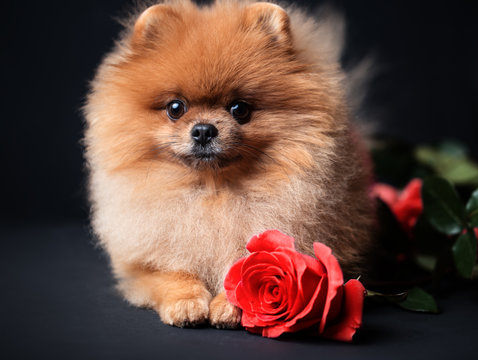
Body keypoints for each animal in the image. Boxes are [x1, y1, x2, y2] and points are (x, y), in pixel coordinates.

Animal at [84, 0, 376, 328]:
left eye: (240, 109)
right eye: (176, 108)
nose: (203, 130)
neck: (213, 192)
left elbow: (242, 271)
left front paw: (229, 305)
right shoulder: (145, 261)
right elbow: (172, 273)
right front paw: (186, 302)